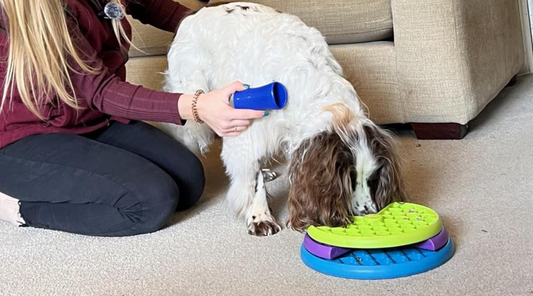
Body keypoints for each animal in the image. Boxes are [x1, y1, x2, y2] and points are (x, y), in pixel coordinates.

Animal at [156, 1, 406, 236]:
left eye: (373, 178)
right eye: (350, 178)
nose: (369, 213)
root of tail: (196, 12)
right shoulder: (248, 129)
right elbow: (252, 177)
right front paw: (260, 217)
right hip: (192, 102)